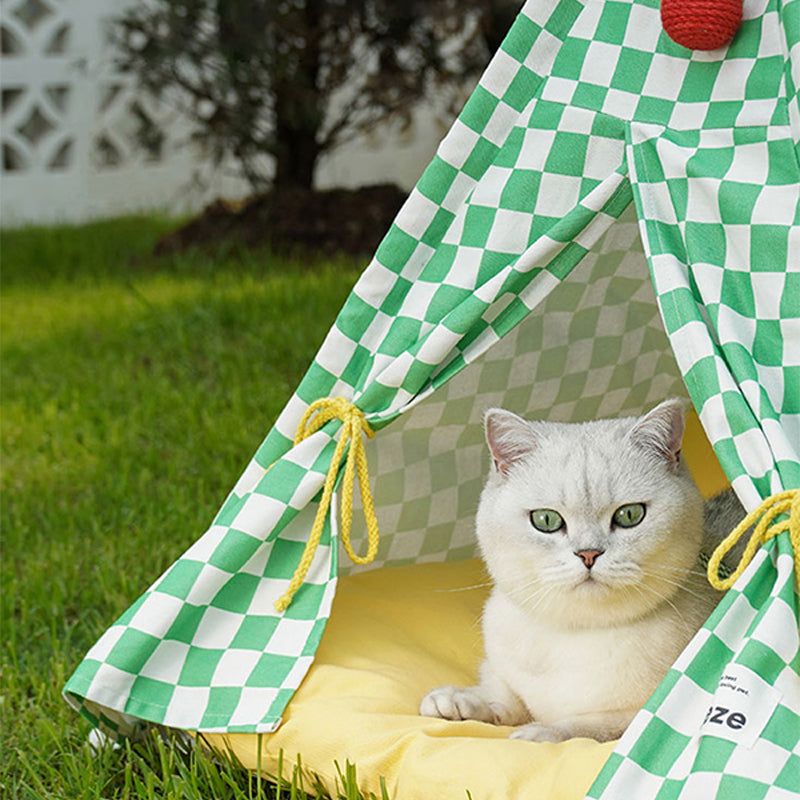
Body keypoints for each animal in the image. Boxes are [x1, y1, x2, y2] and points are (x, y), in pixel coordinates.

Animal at [418, 400, 744, 744]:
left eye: (630, 515)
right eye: (546, 520)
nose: (589, 554)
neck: (575, 633)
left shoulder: (641, 717)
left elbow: (585, 724)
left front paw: (540, 731)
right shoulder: (507, 672)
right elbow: (504, 696)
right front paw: (459, 698)